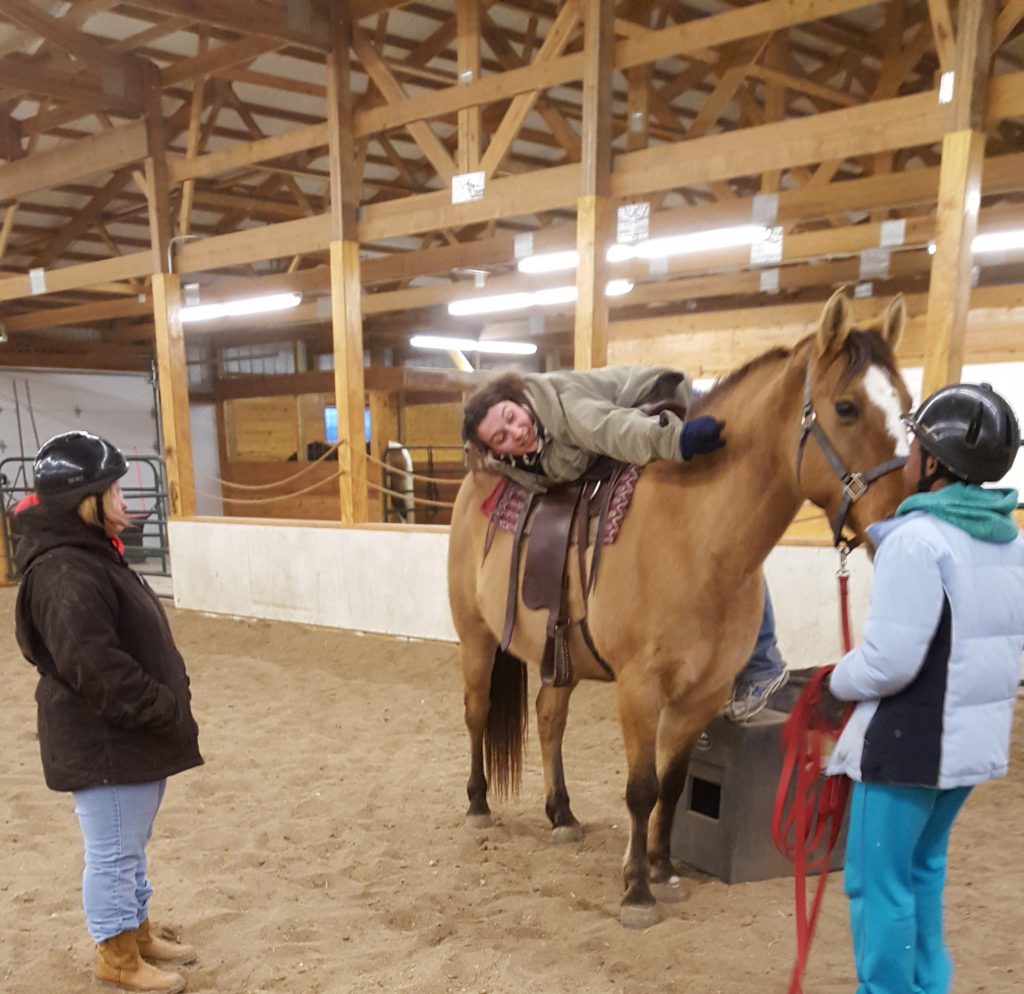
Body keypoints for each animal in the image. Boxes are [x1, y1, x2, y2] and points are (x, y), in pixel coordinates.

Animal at [448, 290, 913, 929]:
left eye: (909, 406)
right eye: (846, 407)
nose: (907, 511)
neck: (695, 536)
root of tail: (475, 483)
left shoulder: (702, 694)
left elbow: (671, 785)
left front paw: (662, 870)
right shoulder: (640, 688)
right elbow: (641, 787)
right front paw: (636, 893)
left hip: (558, 660)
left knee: (548, 719)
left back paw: (562, 814)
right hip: (474, 639)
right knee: (476, 713)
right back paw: (477, 804)